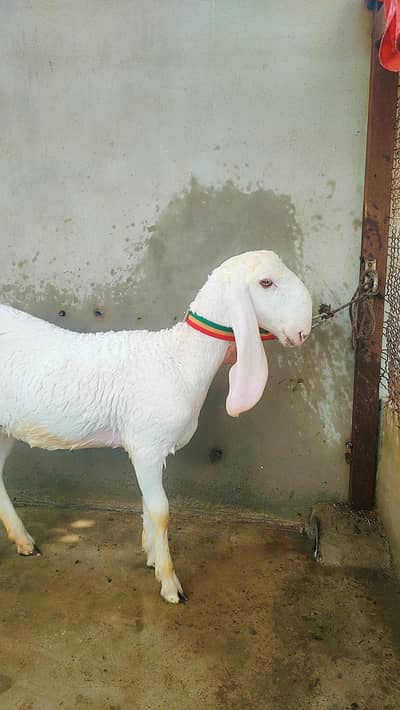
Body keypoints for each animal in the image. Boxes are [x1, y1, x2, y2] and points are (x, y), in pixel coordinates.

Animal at [0, 250, 312, 603]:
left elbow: (148, 505)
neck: (180, 359)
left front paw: (150, 556)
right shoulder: (146, 446)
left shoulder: (150, 450)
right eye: (266, 282)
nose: (303, 331)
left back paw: (23, 540)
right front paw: (169, 583)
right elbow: (160, 510)